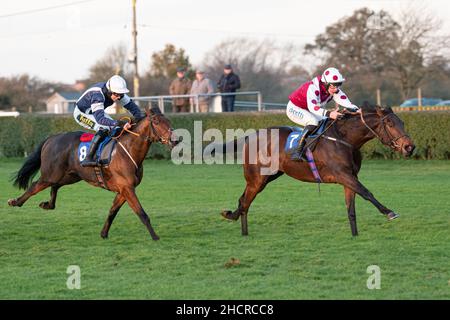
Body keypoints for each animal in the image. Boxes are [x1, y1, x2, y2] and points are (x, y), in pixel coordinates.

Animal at [8, 107, 178, 240]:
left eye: (168, 121)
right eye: (156, 122)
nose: (175, 140)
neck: (128, 150)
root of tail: (51, 138)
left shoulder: (124, 189)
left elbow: (113, 211)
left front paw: (104, 233)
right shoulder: (127, 188)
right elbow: (142, 213)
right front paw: (155, 237)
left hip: (70, 176)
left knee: (55, 186)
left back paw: (47, 204)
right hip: (50, 174)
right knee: (34, 186)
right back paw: (15, 202)